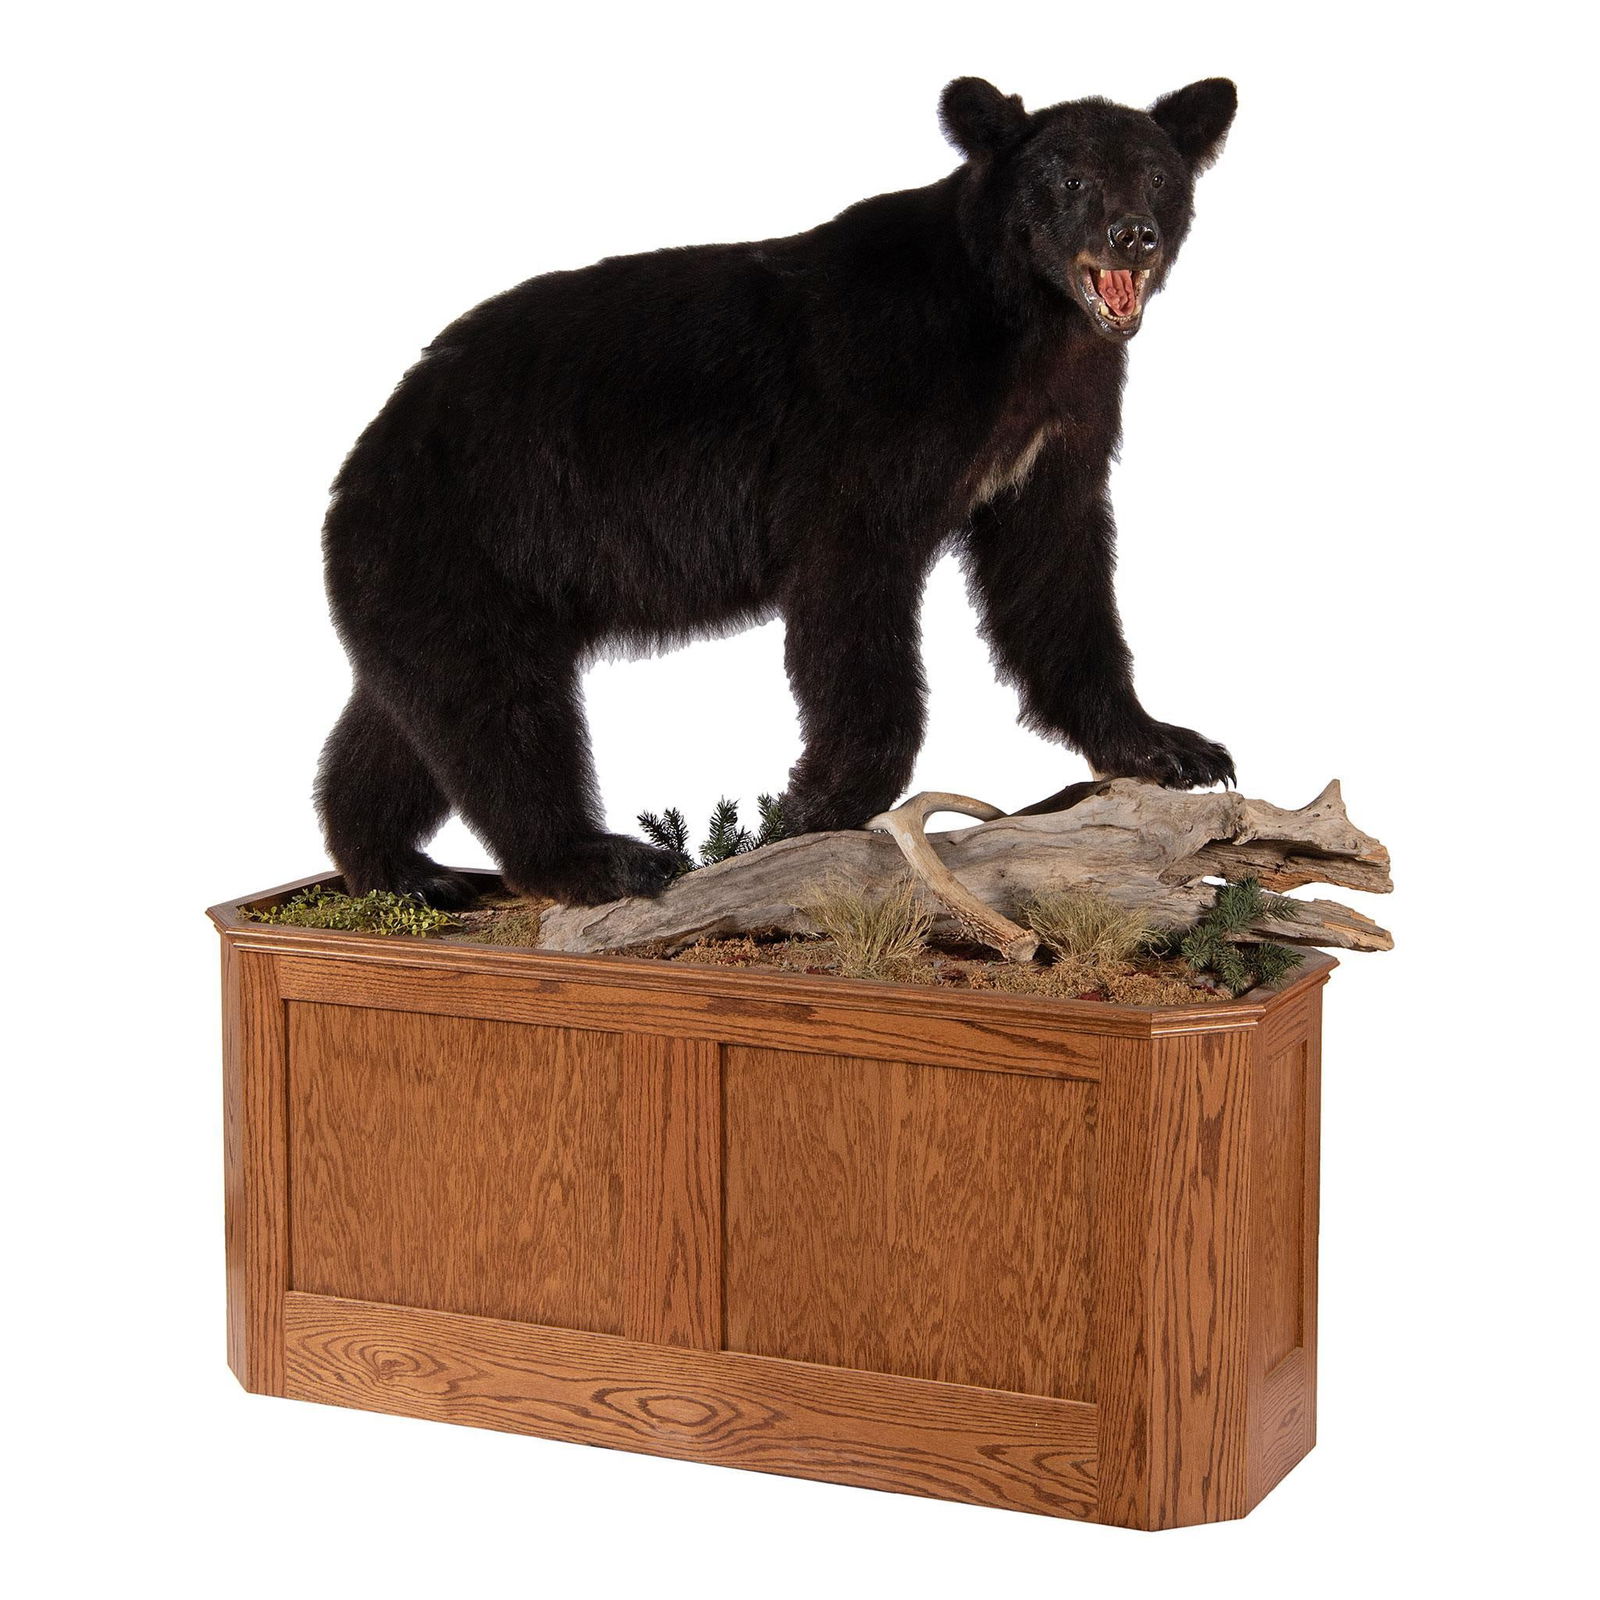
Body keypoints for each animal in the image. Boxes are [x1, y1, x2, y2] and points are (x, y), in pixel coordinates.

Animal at [316, 76, 1239, 908]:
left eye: (1157, 175)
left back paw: (399, 867)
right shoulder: (879, 409)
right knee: (499, 712)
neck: (1026, 325)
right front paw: (817, 802)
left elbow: (1054, 575)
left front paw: (1171, 748)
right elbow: (851, 591)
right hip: (467, 537)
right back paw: (599, 859)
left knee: (406, 718)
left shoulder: (1056, 431)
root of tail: (370, 444)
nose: (1132, 236)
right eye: (1069, 179)